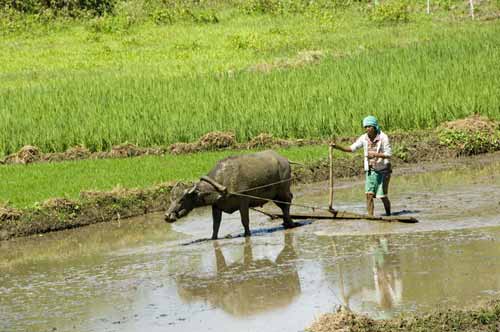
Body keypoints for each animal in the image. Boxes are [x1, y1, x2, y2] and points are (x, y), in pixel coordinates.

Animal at [164, 150, 296, 239]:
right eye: (172, 200)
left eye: (182, 199)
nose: (167, 215)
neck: (221, 182)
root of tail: (285, 160)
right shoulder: (216, 206)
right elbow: (216, 225)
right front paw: (213, 238)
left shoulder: (244, 201)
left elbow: (245, 220)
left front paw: (247, 234)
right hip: (276, 195)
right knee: (283, 206)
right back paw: (286, 222)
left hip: (283, 190)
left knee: (287, 203)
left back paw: (290, 223)